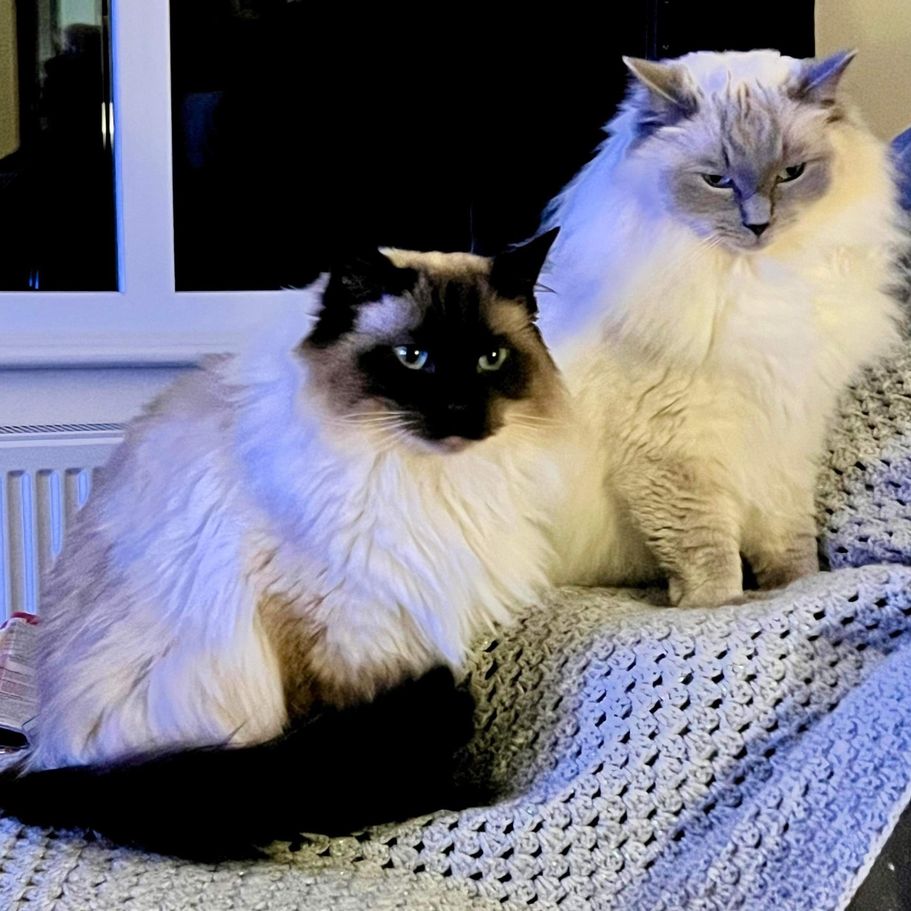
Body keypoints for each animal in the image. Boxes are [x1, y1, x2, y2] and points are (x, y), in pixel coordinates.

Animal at [0, 233, 566, 853]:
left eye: (492, 358)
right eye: (412, 357)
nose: (462, 412)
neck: (425, 480)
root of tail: (41, 755)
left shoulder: (400, 634)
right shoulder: (337, 641)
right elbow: (353, 750)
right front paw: (436, 795)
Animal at [540, 49, 907, 607]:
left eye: (791, 174)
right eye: (717, 181)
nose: (758, 226)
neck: (758, 280)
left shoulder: (784, 439)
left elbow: (787, 541)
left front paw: (794, 587)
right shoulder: (676, 454)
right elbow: (705, 547)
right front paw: (718, 604)